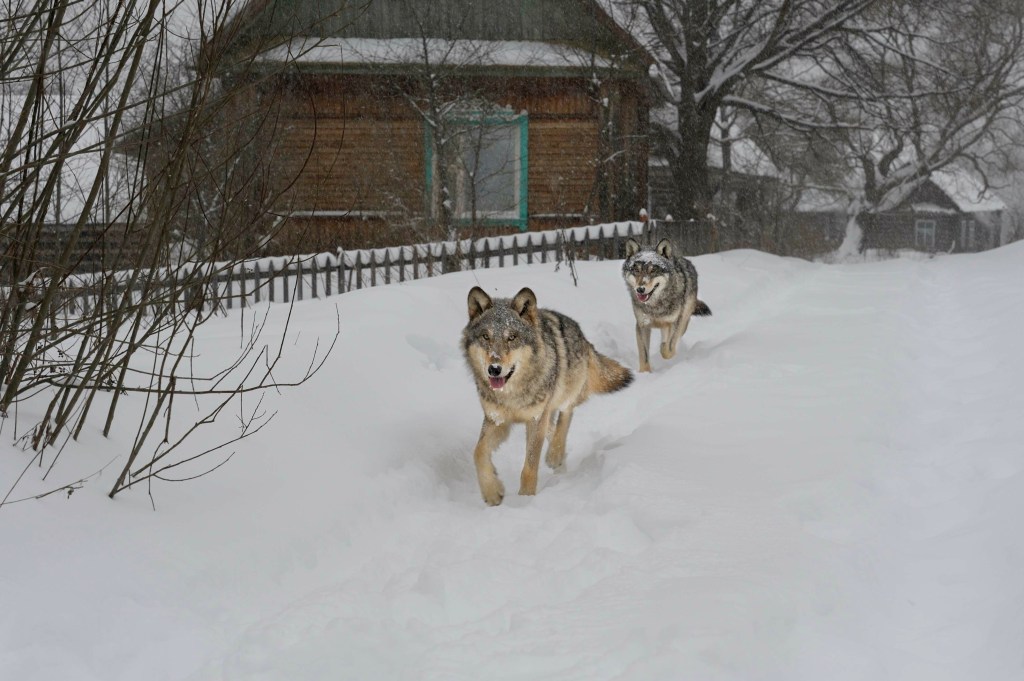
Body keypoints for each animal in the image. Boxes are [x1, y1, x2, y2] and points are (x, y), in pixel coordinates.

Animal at [462, 286, 630, 503]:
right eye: (485, 337)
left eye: (512, 337)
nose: (494, 369)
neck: (512, 394)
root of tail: (583, 336)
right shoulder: (497, 420)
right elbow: (479, 452)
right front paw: (492, 492)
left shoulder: (535, 419)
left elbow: (530, 466)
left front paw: (525, 499)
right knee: (552, 427)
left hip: (564, 395)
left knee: (565, 417)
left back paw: (555, 455)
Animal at [618, 235, 708, 372]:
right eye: (636, 270)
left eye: (653, 271)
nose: (640, 289)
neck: (655, 306)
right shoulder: (642, 325)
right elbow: (644, 354)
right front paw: (645, 373)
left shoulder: (675, 323)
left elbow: (668, 349)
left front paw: (663, 348)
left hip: (683, 320)